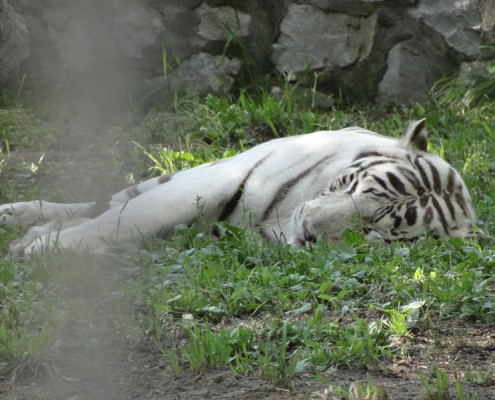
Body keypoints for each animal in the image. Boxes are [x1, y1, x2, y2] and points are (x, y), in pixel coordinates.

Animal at [0, 119, 480, 256]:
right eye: (353, 188)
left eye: (373, 232)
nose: (309, 232)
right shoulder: (211, 181)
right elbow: (130, 219)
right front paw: (43, 247)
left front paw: (44, 245)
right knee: (113, 201)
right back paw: (19, 217)